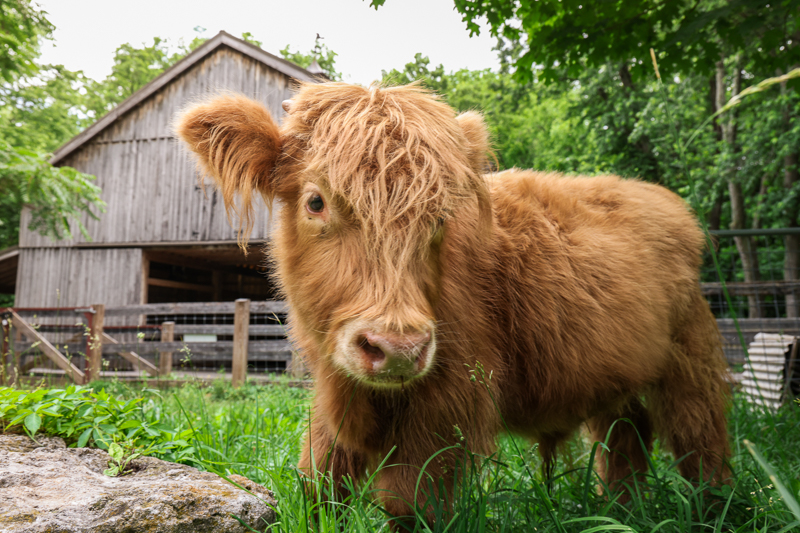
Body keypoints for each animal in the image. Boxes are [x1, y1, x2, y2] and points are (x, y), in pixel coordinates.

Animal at [175, 82, 731, 522]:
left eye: (440, 216)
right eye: (316, 201)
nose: (397, 348)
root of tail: (666, 202)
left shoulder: (449, 401)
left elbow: (409, 502)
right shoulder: (334, 394)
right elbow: (319, 484)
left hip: (692, 368)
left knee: (702, 447)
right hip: (615, 387)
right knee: (625, 447)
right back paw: (620, 511)